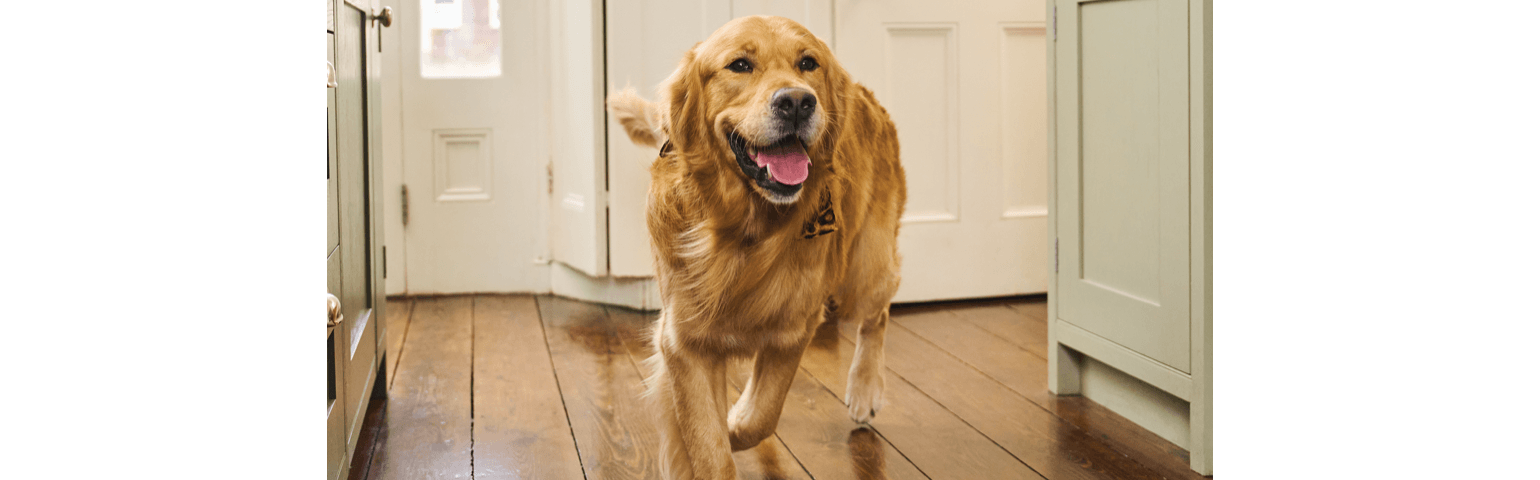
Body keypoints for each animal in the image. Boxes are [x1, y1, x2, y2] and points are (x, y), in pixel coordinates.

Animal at [606, 15, 905, 480]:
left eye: (808, 63)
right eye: (740, 65)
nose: (797, 102)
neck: (744, 232)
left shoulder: (792, 330)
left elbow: (757, 417)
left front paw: (729, 426)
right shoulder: (685, 340)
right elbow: (706, 440)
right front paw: (696, 445)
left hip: (863, 269)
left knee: (879, 311)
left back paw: (864, 390)